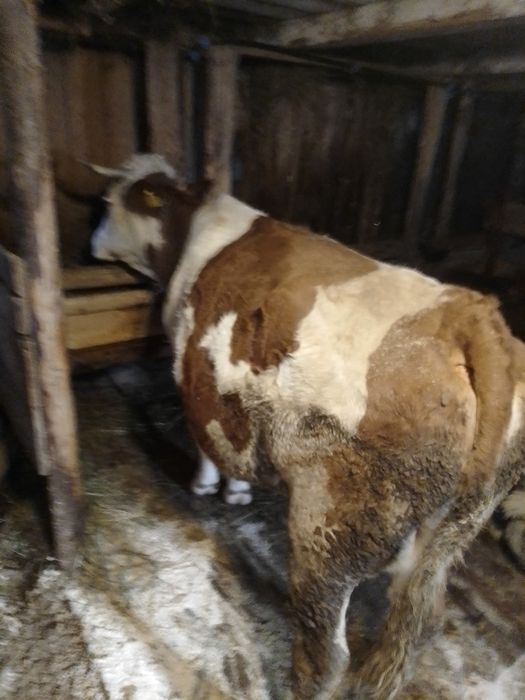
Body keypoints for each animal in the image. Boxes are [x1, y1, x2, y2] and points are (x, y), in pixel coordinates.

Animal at [90, 154, 525, 699]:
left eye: (110, 201)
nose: (91, 244)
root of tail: (470, 315)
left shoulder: (192, 369)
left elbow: (208, 437)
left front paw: (212, 486)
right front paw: (236, 491)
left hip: (328, 527)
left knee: (327, 651)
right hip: (453, 534)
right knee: (415, 622)